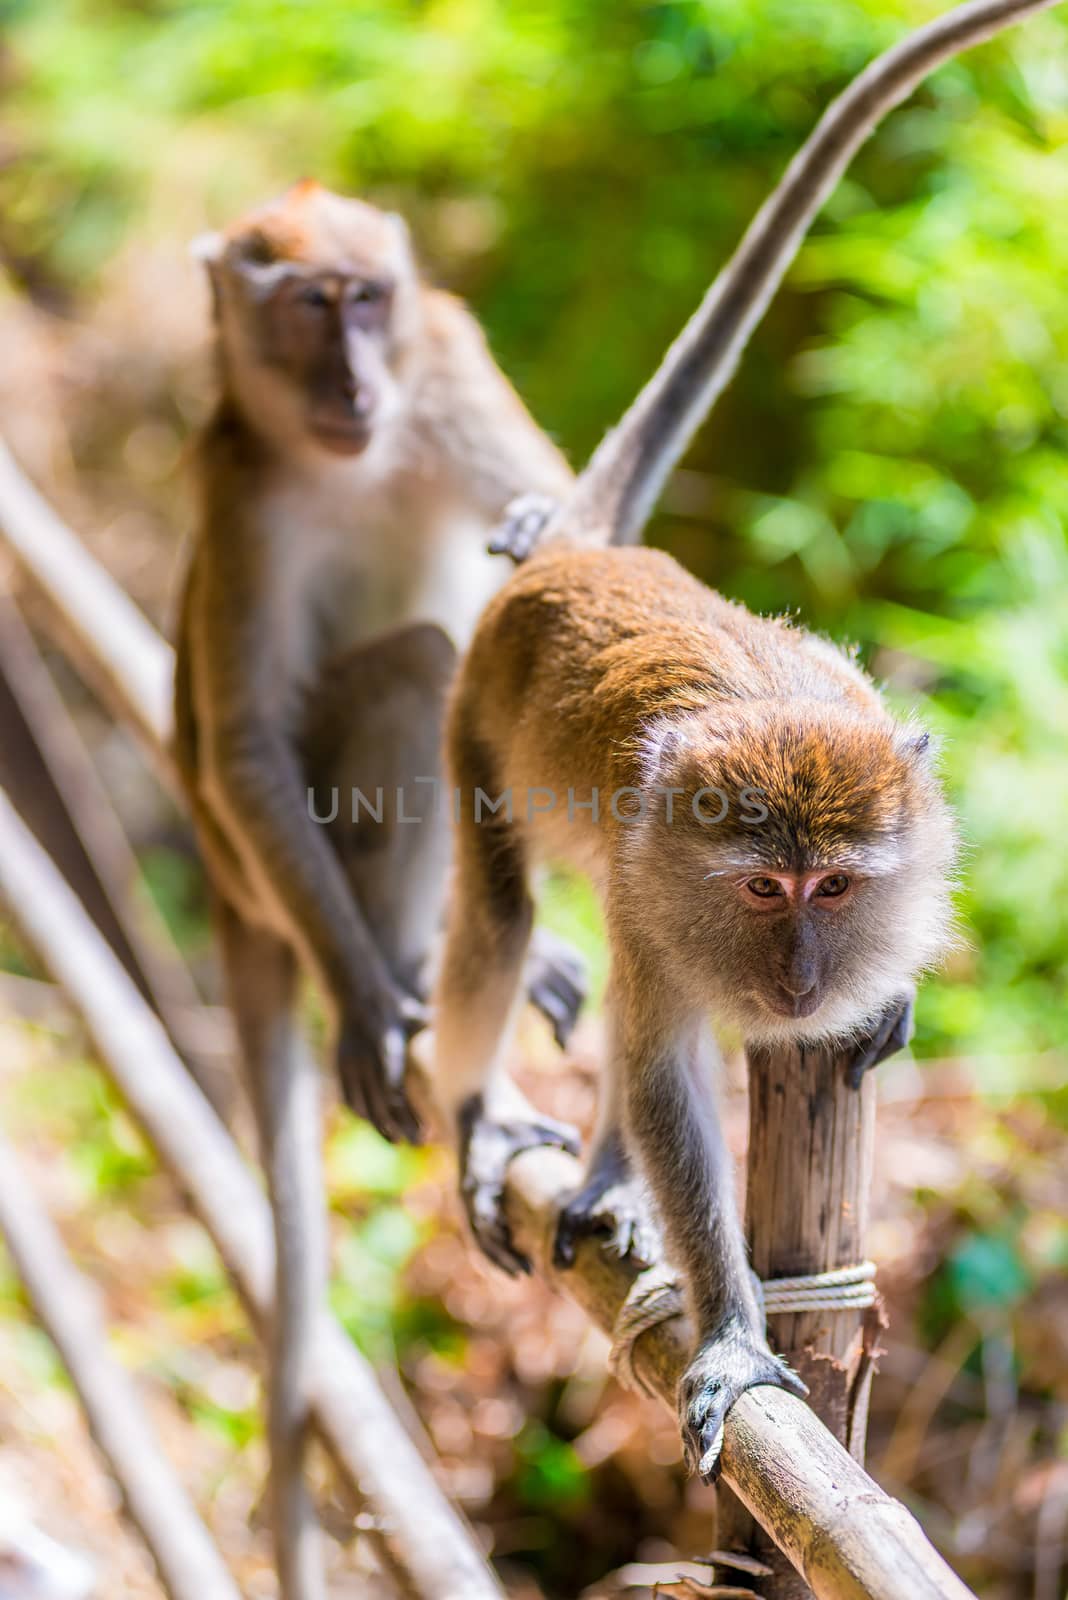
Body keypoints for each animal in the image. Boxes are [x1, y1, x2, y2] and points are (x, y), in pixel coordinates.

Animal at [431, 0, 1048, 1478]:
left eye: (836, 885)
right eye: (765, 887)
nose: (804, 977)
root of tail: (578, 558)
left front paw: (886, 995)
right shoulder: (663, 901)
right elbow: (663, 1078)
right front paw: (729, 1327)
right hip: (474, 722)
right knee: (499, 915)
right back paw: (487, 1122)